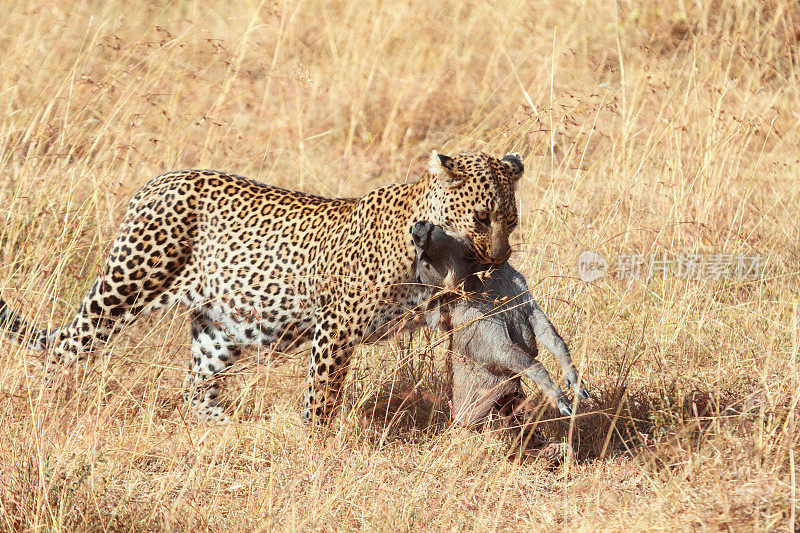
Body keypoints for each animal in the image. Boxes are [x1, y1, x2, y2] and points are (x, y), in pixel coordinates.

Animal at [0, 148, 524, 422]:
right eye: (481, 217)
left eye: (511, 219)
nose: (499, 258)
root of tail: (155, 182)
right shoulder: (336, 326)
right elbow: (322, 393)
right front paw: (317, 446)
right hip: (128, 283)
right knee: (66, 345)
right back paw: (46, 405)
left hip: (218, 327)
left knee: (197, 388)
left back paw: (226, 427)